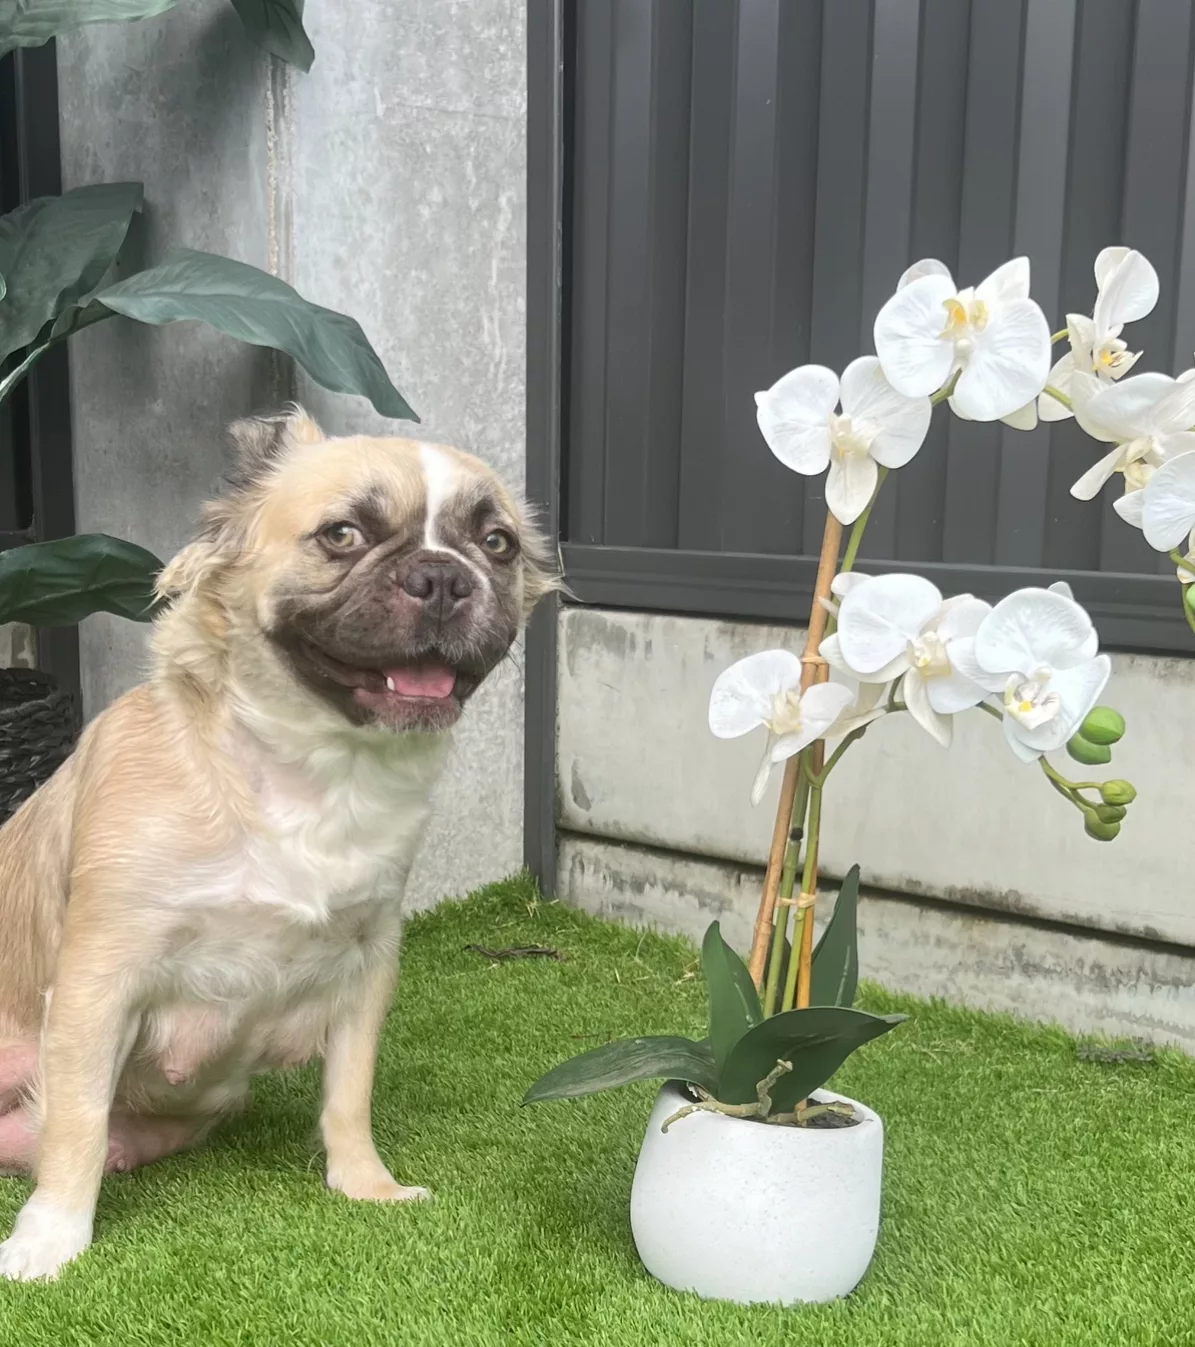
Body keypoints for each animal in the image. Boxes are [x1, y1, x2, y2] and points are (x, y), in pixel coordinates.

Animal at [0, 409, 555, 1280]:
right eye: (342, 534)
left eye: (496, 543)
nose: (442, 575)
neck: (314, 769)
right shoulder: (97, 980)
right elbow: (77, 1122)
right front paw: (52, 1238)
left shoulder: (366, 969)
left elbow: (348, 1096)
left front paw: (364, 1185)